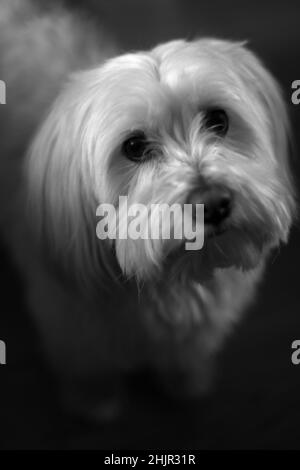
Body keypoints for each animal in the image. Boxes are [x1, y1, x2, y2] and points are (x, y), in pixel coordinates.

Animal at [0, 0, 296, 418]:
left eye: (218, 119)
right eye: (135, 147)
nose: (213, 203)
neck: (171, 280)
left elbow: (184, 354)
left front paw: (187, 380)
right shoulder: (72, 327)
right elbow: (88, 366)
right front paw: (95, 401)